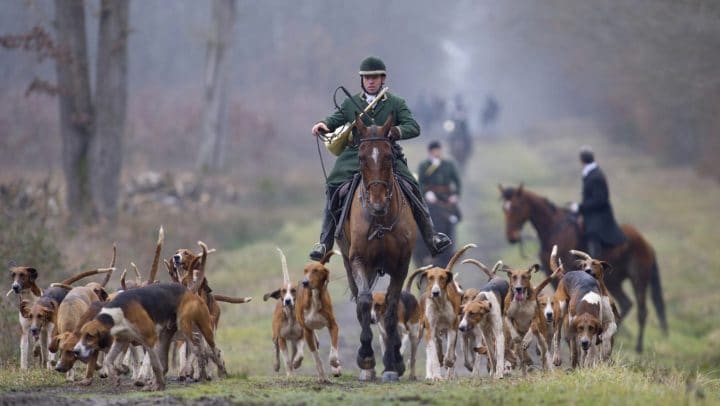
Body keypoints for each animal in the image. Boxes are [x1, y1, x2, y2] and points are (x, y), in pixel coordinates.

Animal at [338, 112, 416, 382]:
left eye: (389, 156)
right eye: (361, 157)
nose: (377, 203)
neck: (381, 220)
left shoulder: (401, 266)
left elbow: (391, 309)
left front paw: (393, 364)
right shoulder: (358, 261)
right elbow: (364, 302)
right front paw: (366, 358)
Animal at [498, 184, 668, 352]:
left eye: (516, 207)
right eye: (504, 209)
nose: (512, 237)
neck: (554, 228)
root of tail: (646, 243)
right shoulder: (554, 275)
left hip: (638, 279)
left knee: (641, 311)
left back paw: (637, 347)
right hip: (614, 281)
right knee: (626, 304)